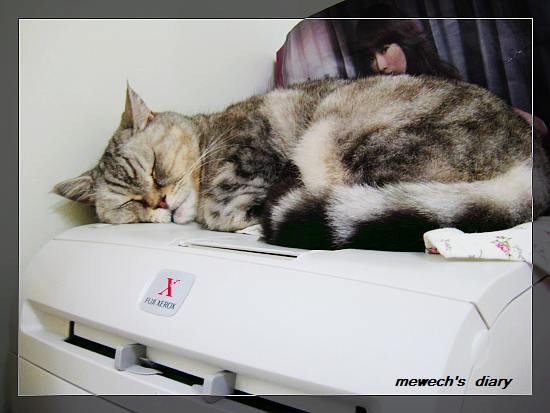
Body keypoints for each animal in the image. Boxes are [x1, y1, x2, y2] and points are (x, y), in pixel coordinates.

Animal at [54, 76, 550, 251]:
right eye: (131, 202)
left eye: (156, 168)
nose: (158, 203)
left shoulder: (254, 156)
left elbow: (221, 206)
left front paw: (240, 216)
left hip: (342, 137)